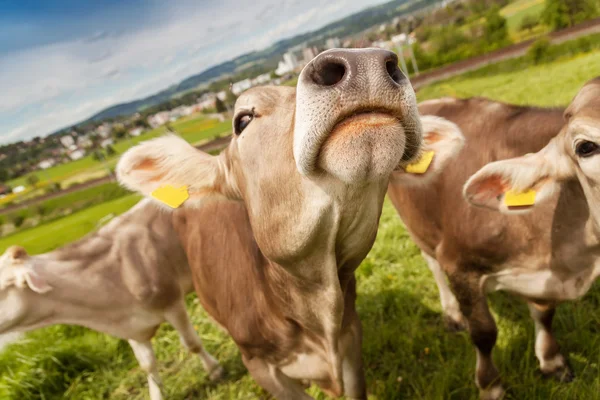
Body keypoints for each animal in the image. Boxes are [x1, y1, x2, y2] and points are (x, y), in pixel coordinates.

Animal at [384, 78, 600, 400]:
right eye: (586, 147)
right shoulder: (459, 265)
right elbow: (484, 333)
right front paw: (490, 386)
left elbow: (544, 313)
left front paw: (552, 361)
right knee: (430, 261)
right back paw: (452, 314)